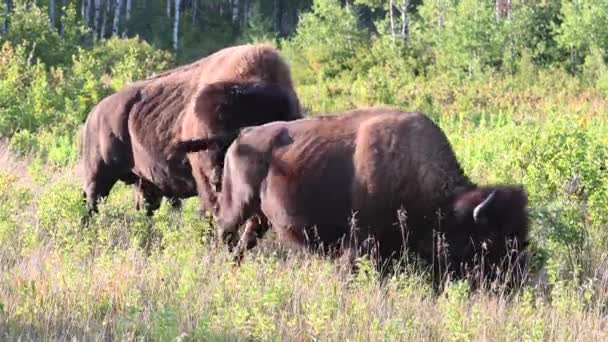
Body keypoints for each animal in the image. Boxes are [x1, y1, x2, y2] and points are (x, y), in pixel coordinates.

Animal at [78, 44, 302, 218]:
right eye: (211, 141)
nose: (218, 178)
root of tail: (94, 113)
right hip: (98, 175)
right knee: (91, 202)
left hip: (145, 183)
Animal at [173, 106, 528, 286]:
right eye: (488, 243)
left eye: (522, 237)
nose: (514, 282)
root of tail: (242, 134)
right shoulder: (360, 242)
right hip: (237, 206)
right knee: (223, 231)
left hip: (261, 219)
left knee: (243, 242)